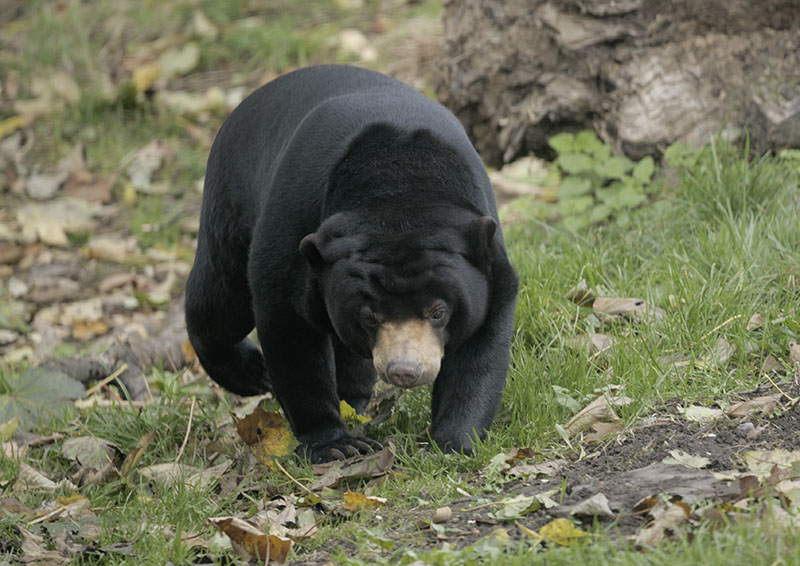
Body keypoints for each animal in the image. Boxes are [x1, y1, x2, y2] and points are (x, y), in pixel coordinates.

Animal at [185, 65, 518, 463]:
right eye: (369, 317)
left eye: (438, 312)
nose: (404, 371)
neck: (397, 194)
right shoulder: (292, 230)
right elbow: (289, 331)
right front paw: (335, 445)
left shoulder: (489, 265)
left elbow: (480, 349)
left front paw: (451, 443)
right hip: (230, 206)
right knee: (221, 304)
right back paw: (252, 371)